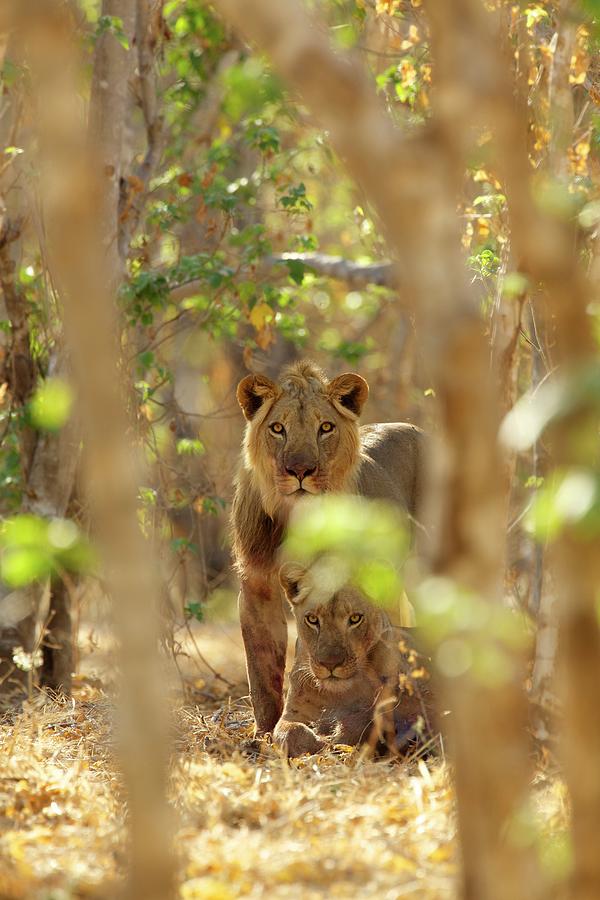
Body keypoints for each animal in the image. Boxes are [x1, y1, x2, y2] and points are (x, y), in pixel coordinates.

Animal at [230, 356, 422, 736]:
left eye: (326, 427)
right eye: (277, 428)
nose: (300, 470)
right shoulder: (256, 583)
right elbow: (261, 672)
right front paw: (264, 734)